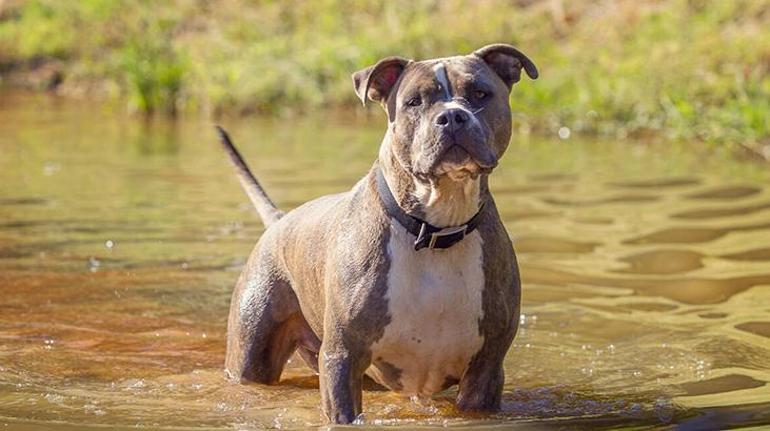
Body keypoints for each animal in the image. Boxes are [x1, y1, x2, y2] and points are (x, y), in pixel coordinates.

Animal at [216, 44, 536, 426]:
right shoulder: (342, 359)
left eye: (479, 94)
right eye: (414, 101)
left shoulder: (486, 369)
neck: (435, 231)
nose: (452, 117)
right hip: (253, 355)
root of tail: (280, 220)